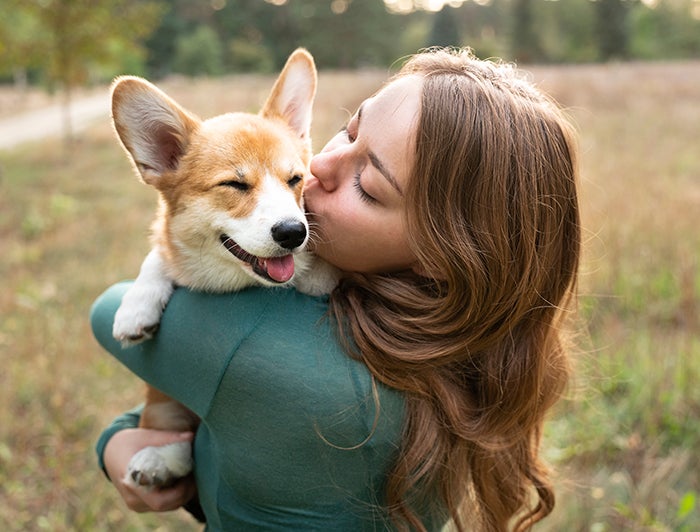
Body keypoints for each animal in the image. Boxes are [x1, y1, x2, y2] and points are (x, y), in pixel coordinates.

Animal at [106, 50, 340, 490]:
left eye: (295, 180)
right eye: (234, 185)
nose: (294, 232)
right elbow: (158, 255)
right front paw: (135, 309)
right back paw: (158, 461)